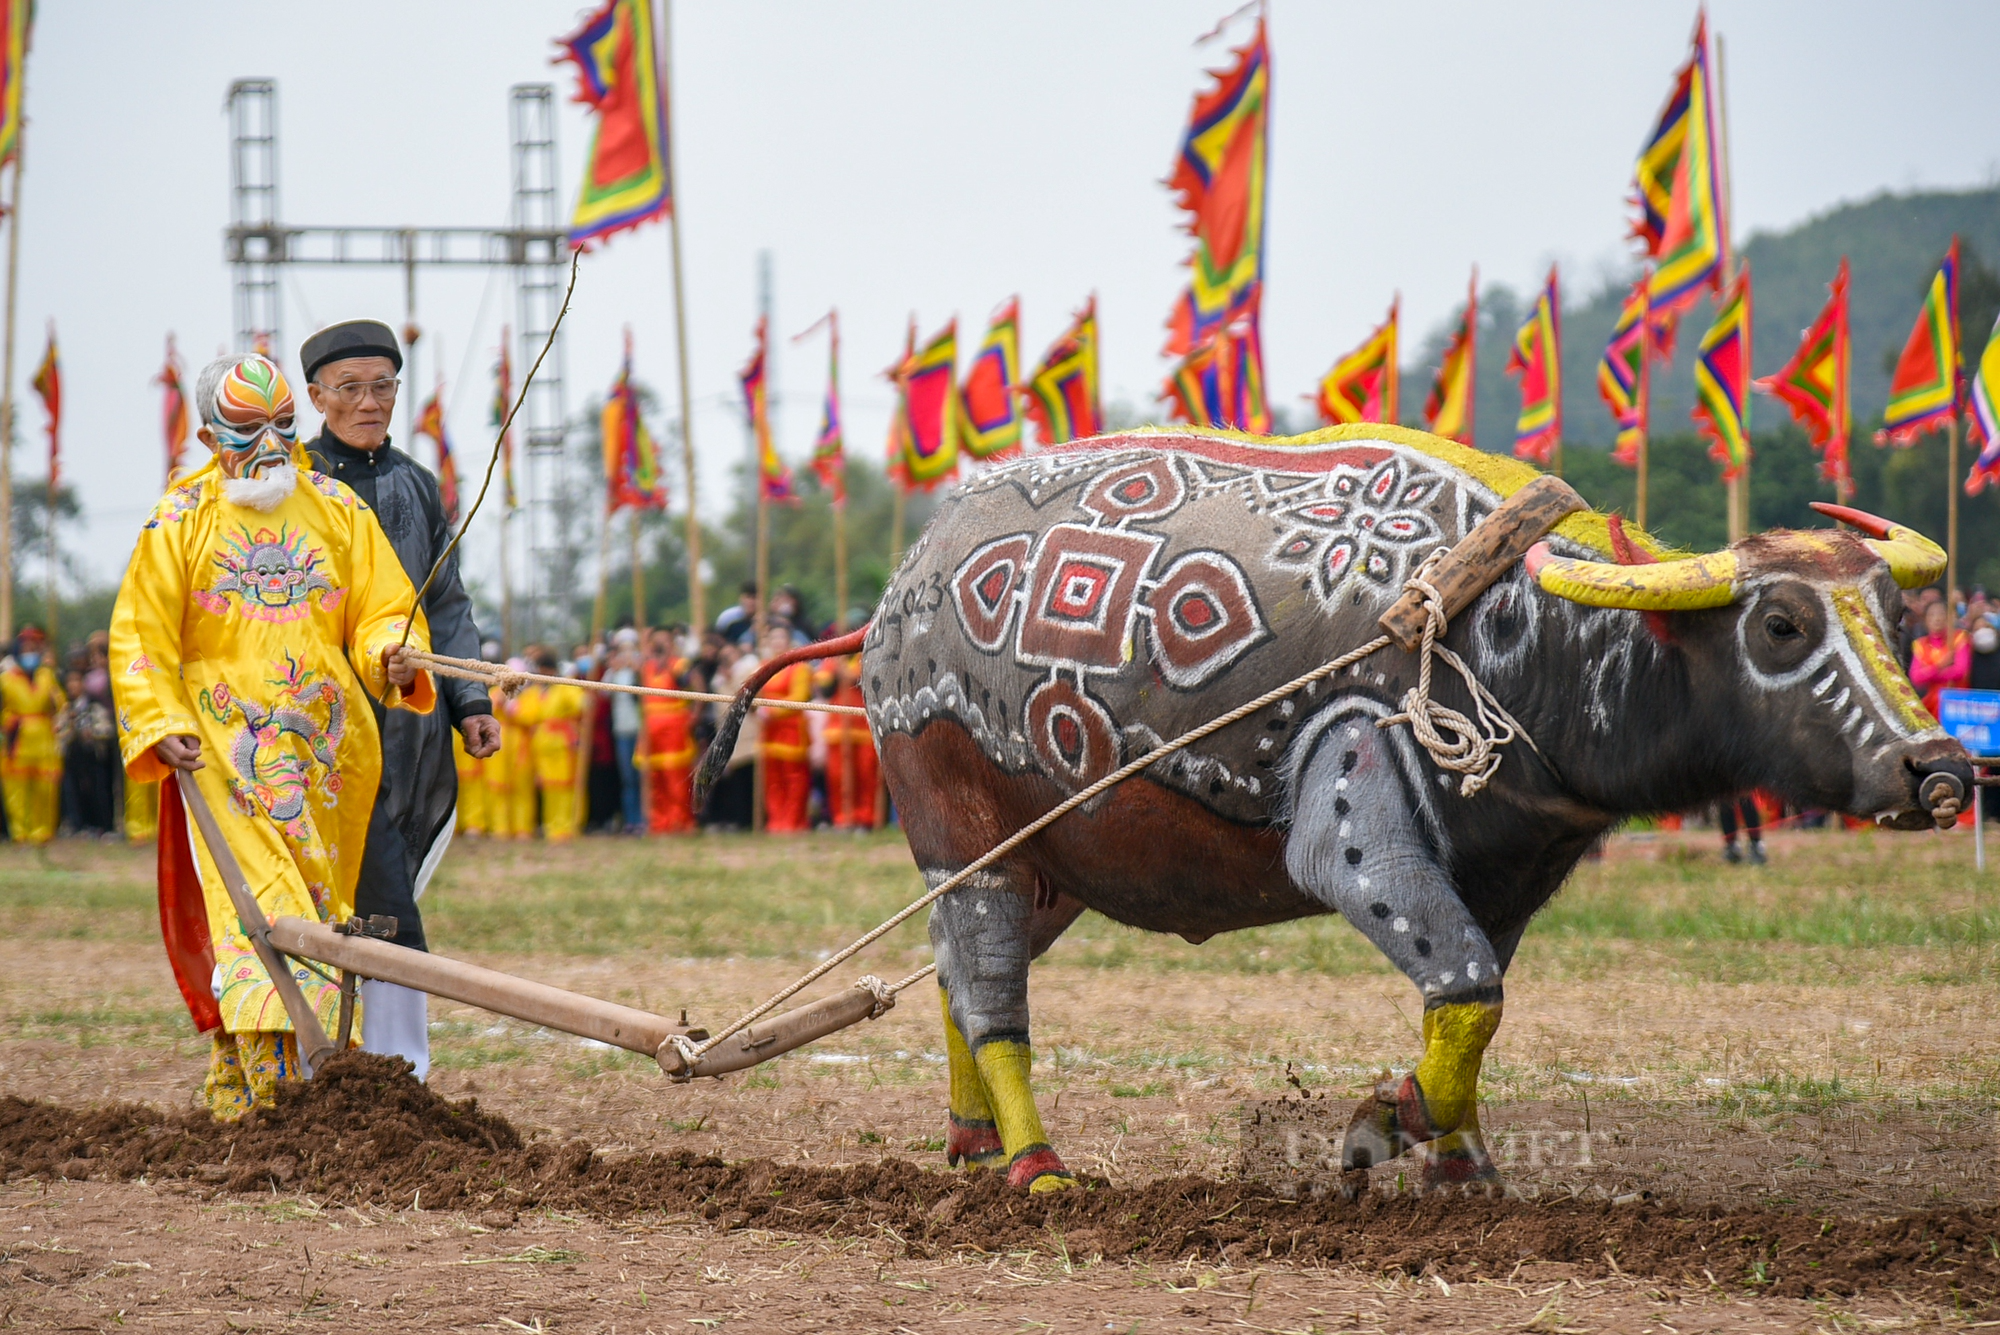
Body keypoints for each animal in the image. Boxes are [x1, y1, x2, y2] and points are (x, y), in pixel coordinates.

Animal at [848, 425, 1968, 1191]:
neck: (1514, 635)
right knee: (990, 990)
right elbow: (1467, 991)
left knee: (953, 976)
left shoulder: (1508, 873)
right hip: (959, 830)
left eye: (1894, 615)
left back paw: (970, 1142)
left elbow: (1469, 1011)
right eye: (1778, 624)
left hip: (1058, 861)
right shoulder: (1354, 821)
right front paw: (1379, 1120)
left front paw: (1461, 1161)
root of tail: (908, 580)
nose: (1937, 765)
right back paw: (1035, 1164)